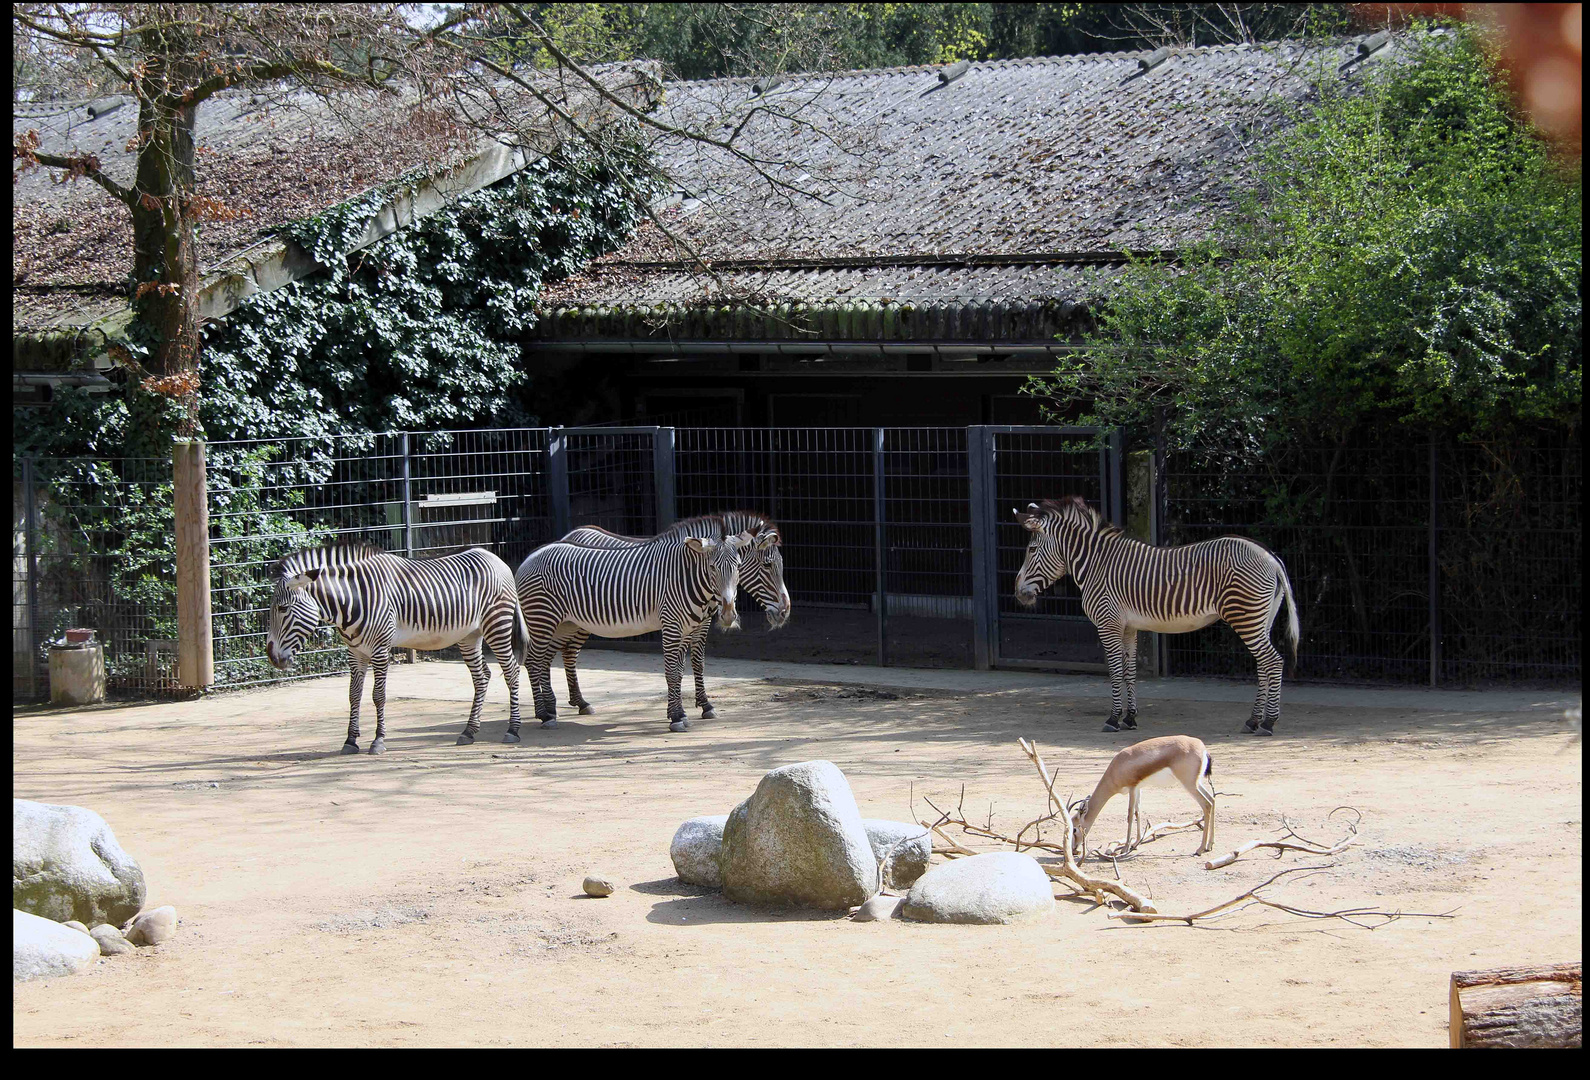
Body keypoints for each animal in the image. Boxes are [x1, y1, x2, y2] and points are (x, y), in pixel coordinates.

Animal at [263, 543, 527, 757]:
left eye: (283, 608)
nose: (272, 657)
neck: (354, 599)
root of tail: (495, 558)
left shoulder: (380, 649)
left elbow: (378, 696)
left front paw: (378, 741)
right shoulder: (355, 652)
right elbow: (354, 695)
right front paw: (350, 740)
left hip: (497, 624)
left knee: (511, 671)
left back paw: (512, 730)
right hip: (469, 635)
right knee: (482, 677)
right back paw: (469, 732)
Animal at [515, 524, 750, 731]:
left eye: (738, 567)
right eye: (712, 567)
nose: (728, 614)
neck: (686, 577)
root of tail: (531, 556)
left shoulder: (689, 627)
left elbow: (683, 669)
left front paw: (683, 712)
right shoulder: (672, 625)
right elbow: (672, 672)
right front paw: (677, 717)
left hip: (564, 623)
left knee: (547, 660)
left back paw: (554, 708)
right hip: (543, 619)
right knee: (534, 661)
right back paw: (544, 714)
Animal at [550, 512, 791, 722]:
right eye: (768, 565)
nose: (785, 612)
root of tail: (572, 533)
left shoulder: (698, 622)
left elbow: (692, 664)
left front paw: (696, 706)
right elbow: (682, 665)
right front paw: (687, 709)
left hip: (577, 621)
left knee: (569, 653)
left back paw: (579, 702)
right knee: (568, 653)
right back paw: (575, 703)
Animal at [1011, 496, 1297, 734]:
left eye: (1032, 550)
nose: (1017, 593)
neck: (1096, 565)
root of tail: (1271, 557)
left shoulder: (1108, 623)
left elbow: (1115, 670)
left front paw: (1113, 719)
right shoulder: (1128, 627)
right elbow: (1129, 670)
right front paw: (1130, 718)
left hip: (1245, 615)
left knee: (1273, 662)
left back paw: (1268, 723)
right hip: (1261, 619)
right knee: (1263, 665)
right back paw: (1253, 720)